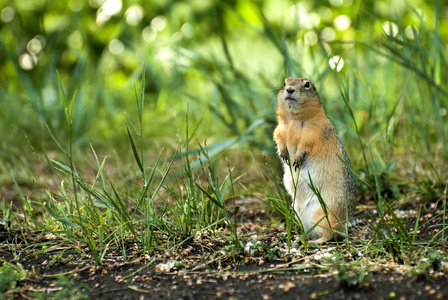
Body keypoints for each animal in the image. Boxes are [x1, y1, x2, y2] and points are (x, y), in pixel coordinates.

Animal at [272, 77, 356, 244]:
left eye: (307, 84)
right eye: (285, 82)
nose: (289, 89)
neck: (293, 119)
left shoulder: (314, 129)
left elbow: (306, 143)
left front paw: (297, 158)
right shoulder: (280, 128)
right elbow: (279, 138)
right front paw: (284, 154)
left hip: (322, 214)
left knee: (332, 234)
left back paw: (315, 241)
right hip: (298, 212)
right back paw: (300, 237)